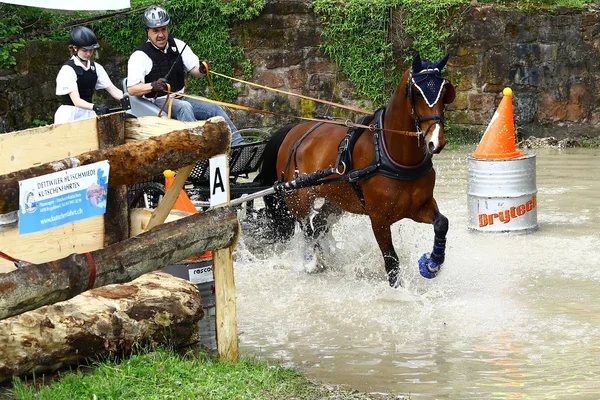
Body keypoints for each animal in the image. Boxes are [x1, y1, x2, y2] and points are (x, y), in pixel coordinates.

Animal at [253, 54, 454, 288]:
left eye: (444, 92)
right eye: (418, 93)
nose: (436, 141)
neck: (393, 156)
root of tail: (292, 131)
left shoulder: (420, 206)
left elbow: (442, 223)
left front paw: (432, 263)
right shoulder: (378, 219)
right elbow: (392, 263)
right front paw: (399, 290)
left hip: (337, 198)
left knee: (319, 222)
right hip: (298, 197)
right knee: (307, 227)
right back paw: (313, 260)